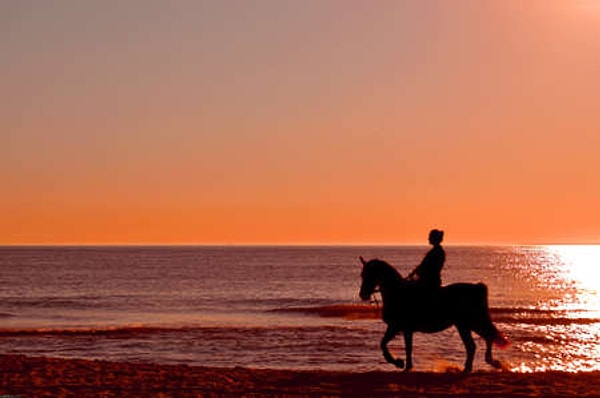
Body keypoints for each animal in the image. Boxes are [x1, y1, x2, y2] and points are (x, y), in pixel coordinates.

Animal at [358, 256, 508, 372]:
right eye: (362, 275)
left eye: (370, 274)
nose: (363, 294)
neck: (398, 292)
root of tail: (477, 287)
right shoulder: (404, 329)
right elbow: (402, 347)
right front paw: (405, 365)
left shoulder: (397, 327)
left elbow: (385, 344)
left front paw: (399, 363)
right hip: (467, 324)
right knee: (480, 341)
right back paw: (482, 364)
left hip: (470, 323)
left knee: (482, 340)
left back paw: (482, 364)